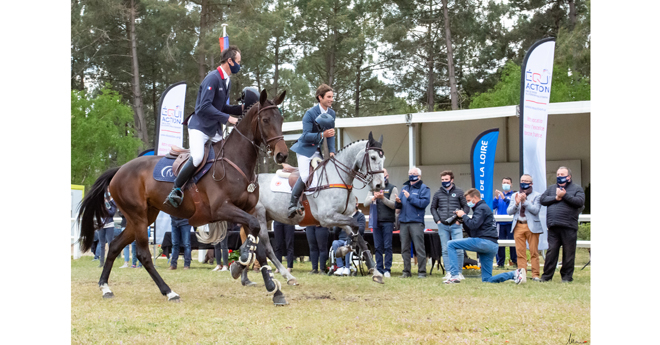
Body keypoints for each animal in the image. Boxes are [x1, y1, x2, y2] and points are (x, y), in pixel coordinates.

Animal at [76, 88, 288, 304]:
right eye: (265, 120)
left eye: (281, 119)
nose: (282, 155)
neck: (235, 163)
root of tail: (119, 170)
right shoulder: (222, 209)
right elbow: (254, 234)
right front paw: (242, 261)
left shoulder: (248, 210)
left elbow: (258, 245)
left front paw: (273, 288)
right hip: (138, 217)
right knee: (143, 255)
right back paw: (169, 292)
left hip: (143, 217)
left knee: (114, 246)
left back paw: (105, 287)